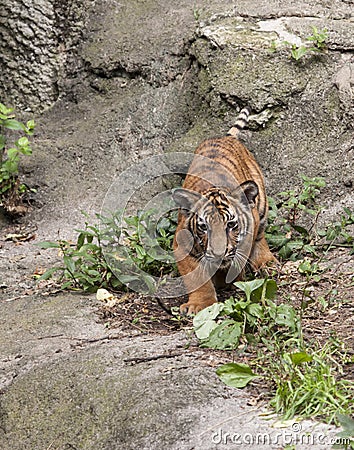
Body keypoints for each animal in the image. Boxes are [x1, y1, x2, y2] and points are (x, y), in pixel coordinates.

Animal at [173, 107, 276, 314]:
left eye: (231, 225)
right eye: (203, 227)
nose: (219, 253)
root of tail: (225, 137)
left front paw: (228, 279)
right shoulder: (182, 243)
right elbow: (196, 278)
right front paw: (199, 305)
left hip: (260, 208)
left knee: (260, 238)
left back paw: (267, 262)